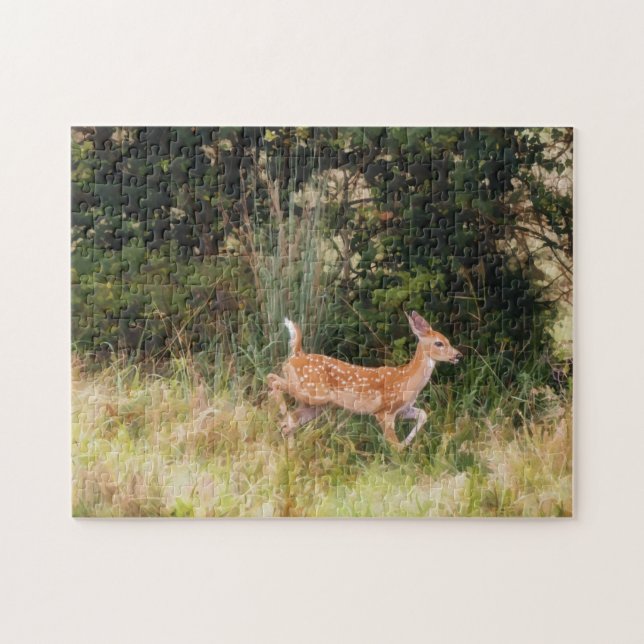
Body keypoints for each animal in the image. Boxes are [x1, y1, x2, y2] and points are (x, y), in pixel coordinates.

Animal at [266, 311, 462, 449]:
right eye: (439, 343)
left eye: (448, 340)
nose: (458, 355)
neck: (407, 380)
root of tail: (297, 354)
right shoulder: (385, 411)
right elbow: (394, 445)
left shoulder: (403, 410)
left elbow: (423, 415)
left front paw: (407, 442)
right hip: (312, 392)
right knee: (272, 379)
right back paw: (282, 413)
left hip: (314, 405)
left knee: (287, 422)